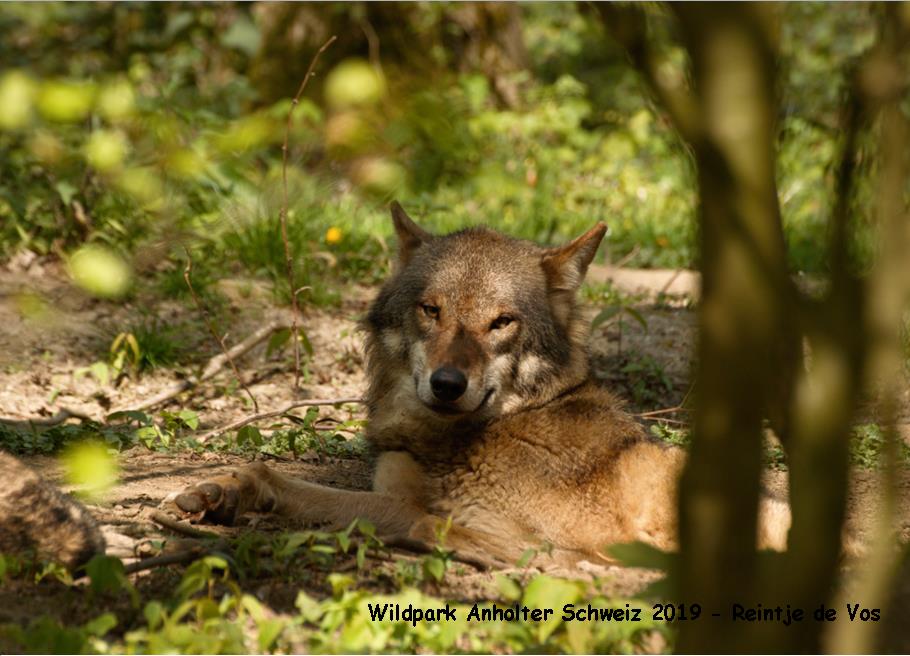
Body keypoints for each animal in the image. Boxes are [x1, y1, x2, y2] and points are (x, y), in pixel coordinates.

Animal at [173, 202, 792, 568]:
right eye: (432, 310)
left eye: (501, 322)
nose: (447, 383)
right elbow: (316, 491)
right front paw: (224, 491)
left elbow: (386, 511)